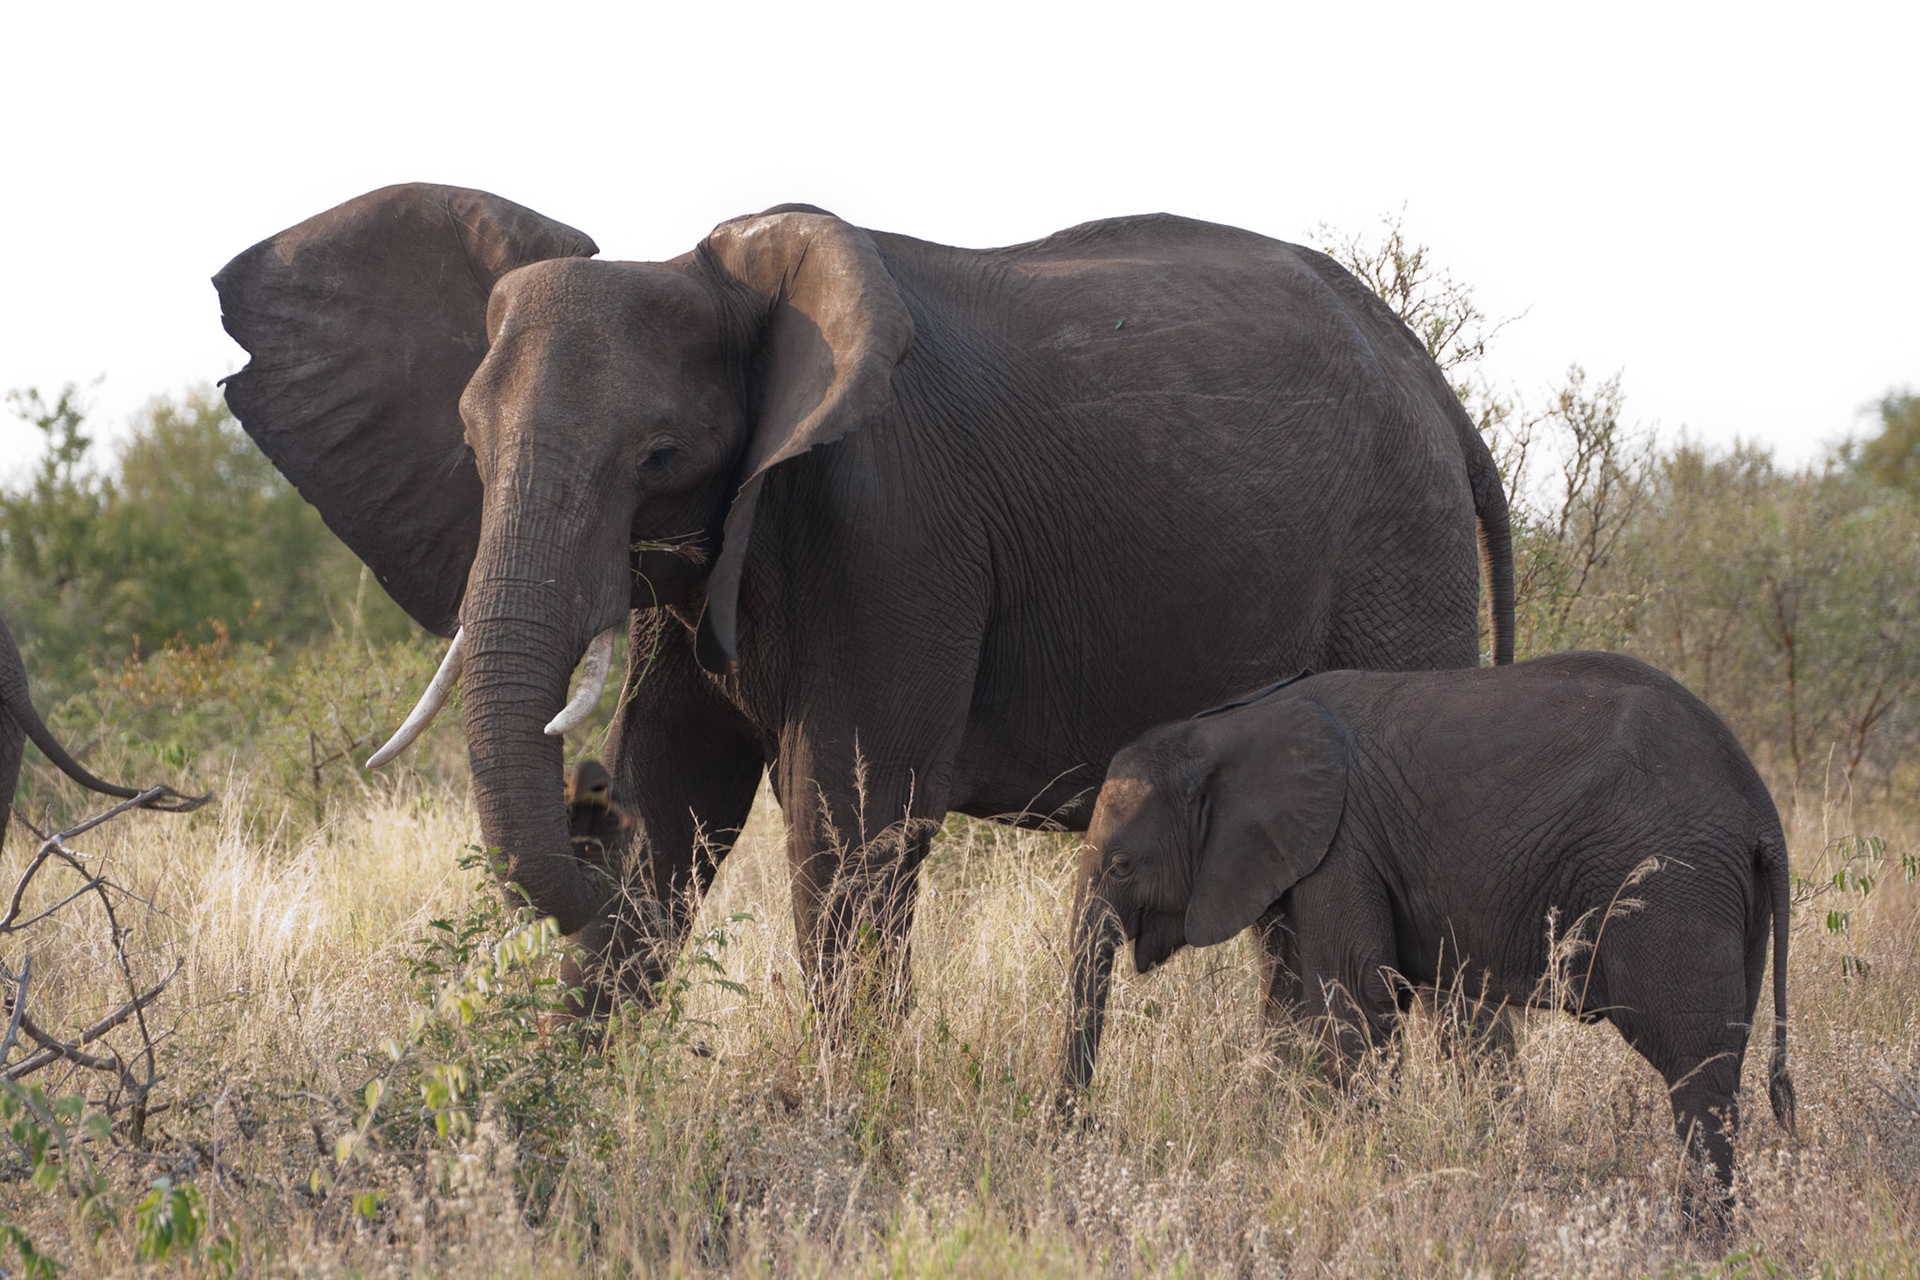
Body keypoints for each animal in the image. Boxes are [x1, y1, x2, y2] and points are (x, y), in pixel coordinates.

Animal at [213, 183, 1515, 1013]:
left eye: (656, 455)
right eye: (471, 448)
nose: (584, 800)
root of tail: (1436, 388)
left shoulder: (891, 526)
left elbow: (844, 827)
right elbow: (677, 791)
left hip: (1400, 550)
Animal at [1058, 651, 1795, 1210]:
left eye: (1122, 865)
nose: (1080, 1130)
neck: (1227, 728)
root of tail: (1763, 810)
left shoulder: (1343, 846)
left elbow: (1354, 1003)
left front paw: (1358, 1170)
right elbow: (1287, 1010)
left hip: (1677, 885)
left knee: (1695, 1072)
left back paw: (1699, 1238)